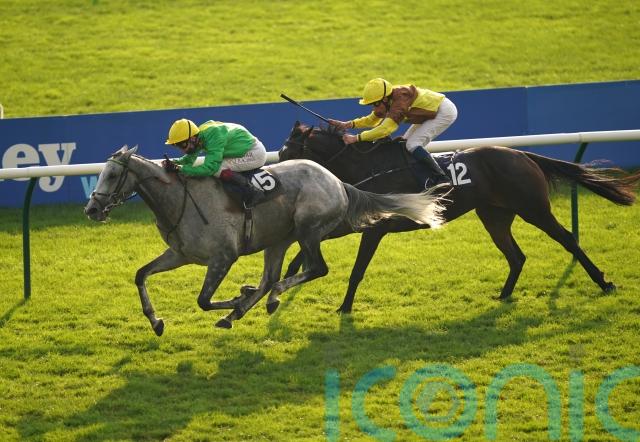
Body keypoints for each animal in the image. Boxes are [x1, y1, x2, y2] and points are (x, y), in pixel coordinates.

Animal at [84, 145, 445, 335]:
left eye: (112, 175)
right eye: (100, 174)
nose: (92, 209)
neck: (179, 199)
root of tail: (338, 182)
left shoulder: (223, 257)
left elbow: (203, 300)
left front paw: (237, 299)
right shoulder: (180, 254)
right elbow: (141, 274)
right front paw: (156, 321)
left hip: (308, 230)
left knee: (315, 269)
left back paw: (267, 300)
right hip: (278, 240)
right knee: (271, 276)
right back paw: (246, 307)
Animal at [279, 122, 640, 313]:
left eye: (289, 149)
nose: (275, 173)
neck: (369, 167)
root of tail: (522, 154)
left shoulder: (375, 228)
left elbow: (357, 270)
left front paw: (344, 307)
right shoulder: (355, 221)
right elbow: (307, 247)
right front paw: (287, 278)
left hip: (534, 208)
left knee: (567, 239)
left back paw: (604, 282)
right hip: (494, 215)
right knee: (516, 256)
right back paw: (503, 295)